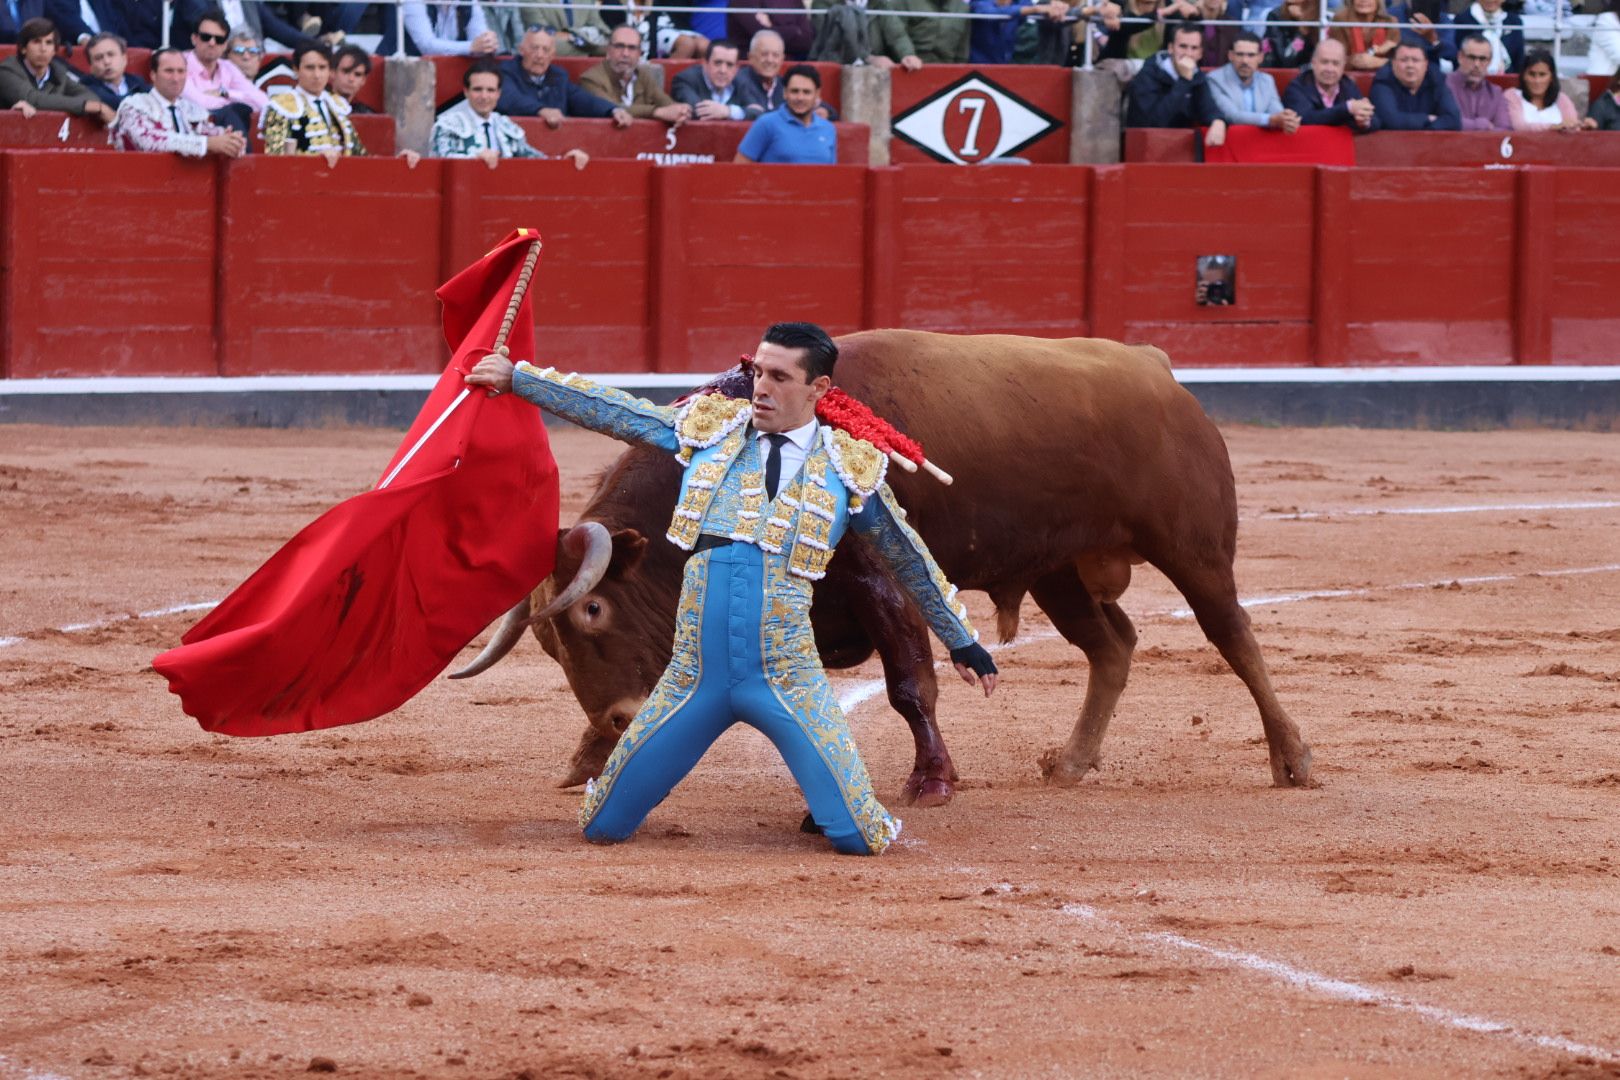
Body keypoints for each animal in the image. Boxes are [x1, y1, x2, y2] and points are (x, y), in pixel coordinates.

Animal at [456, 331, 1315, 803]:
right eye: (548, 644)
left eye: (594, 611)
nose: (616, 720)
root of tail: (1155, 369)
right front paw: (588, 761)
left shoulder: (883, 579)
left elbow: (911, 684)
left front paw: (932, 781)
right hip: (1058, 568)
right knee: (1113, 645)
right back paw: (1072, 761)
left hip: (1192, 546)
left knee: (1233, 635)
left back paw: (1293, 759)